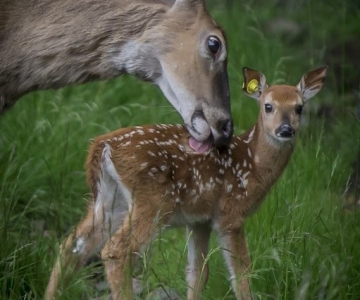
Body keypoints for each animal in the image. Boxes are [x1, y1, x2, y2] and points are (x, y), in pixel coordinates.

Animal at [45, 64, 330, 298]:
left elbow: (197, 274)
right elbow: (242, 276)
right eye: (268, 106)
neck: (252, 164)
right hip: (152, 201)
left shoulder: (199, 220)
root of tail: (103, 145)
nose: (285, 130)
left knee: (72, 244)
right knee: (116, 250)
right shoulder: (230, 214)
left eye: (299, 108)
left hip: (110, 201)